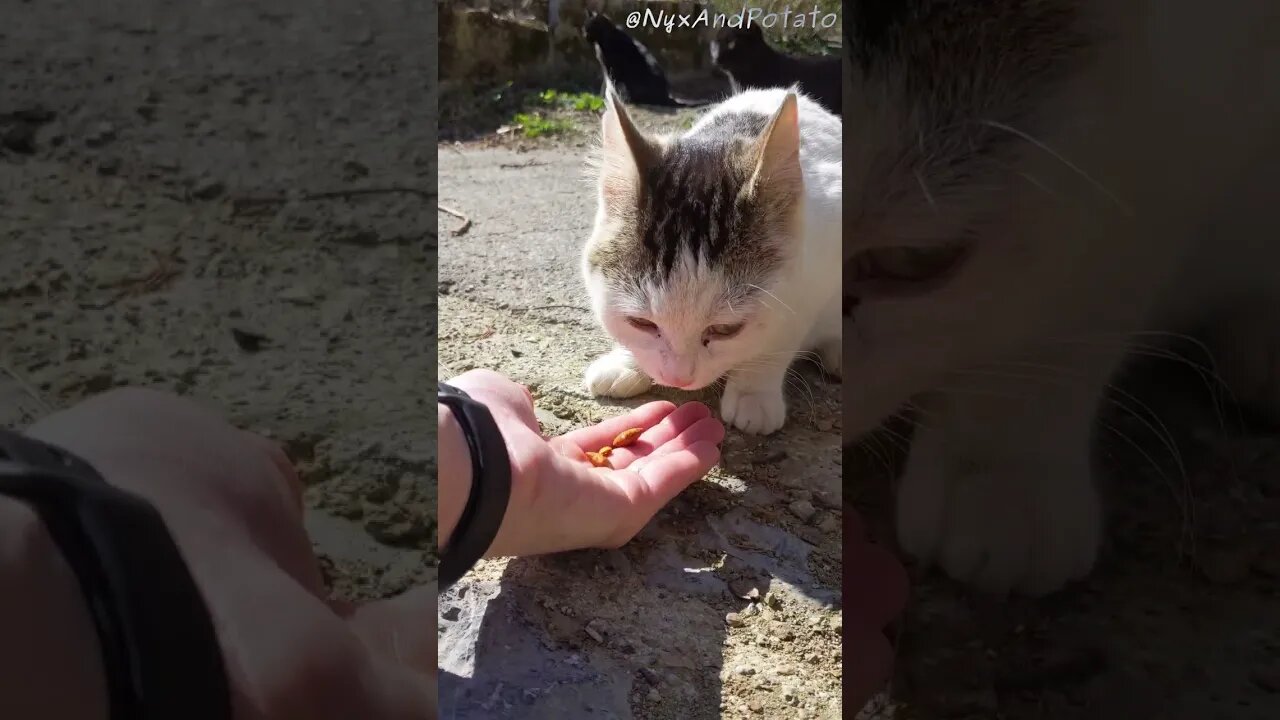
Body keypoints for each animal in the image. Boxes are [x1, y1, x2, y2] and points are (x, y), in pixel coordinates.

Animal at [578, 84, 839, 435]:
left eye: (726, 329)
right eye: (641, 323)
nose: (678, 377)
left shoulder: (816, 272)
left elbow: (781, 334)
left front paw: (754, 390)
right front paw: (625, 361)